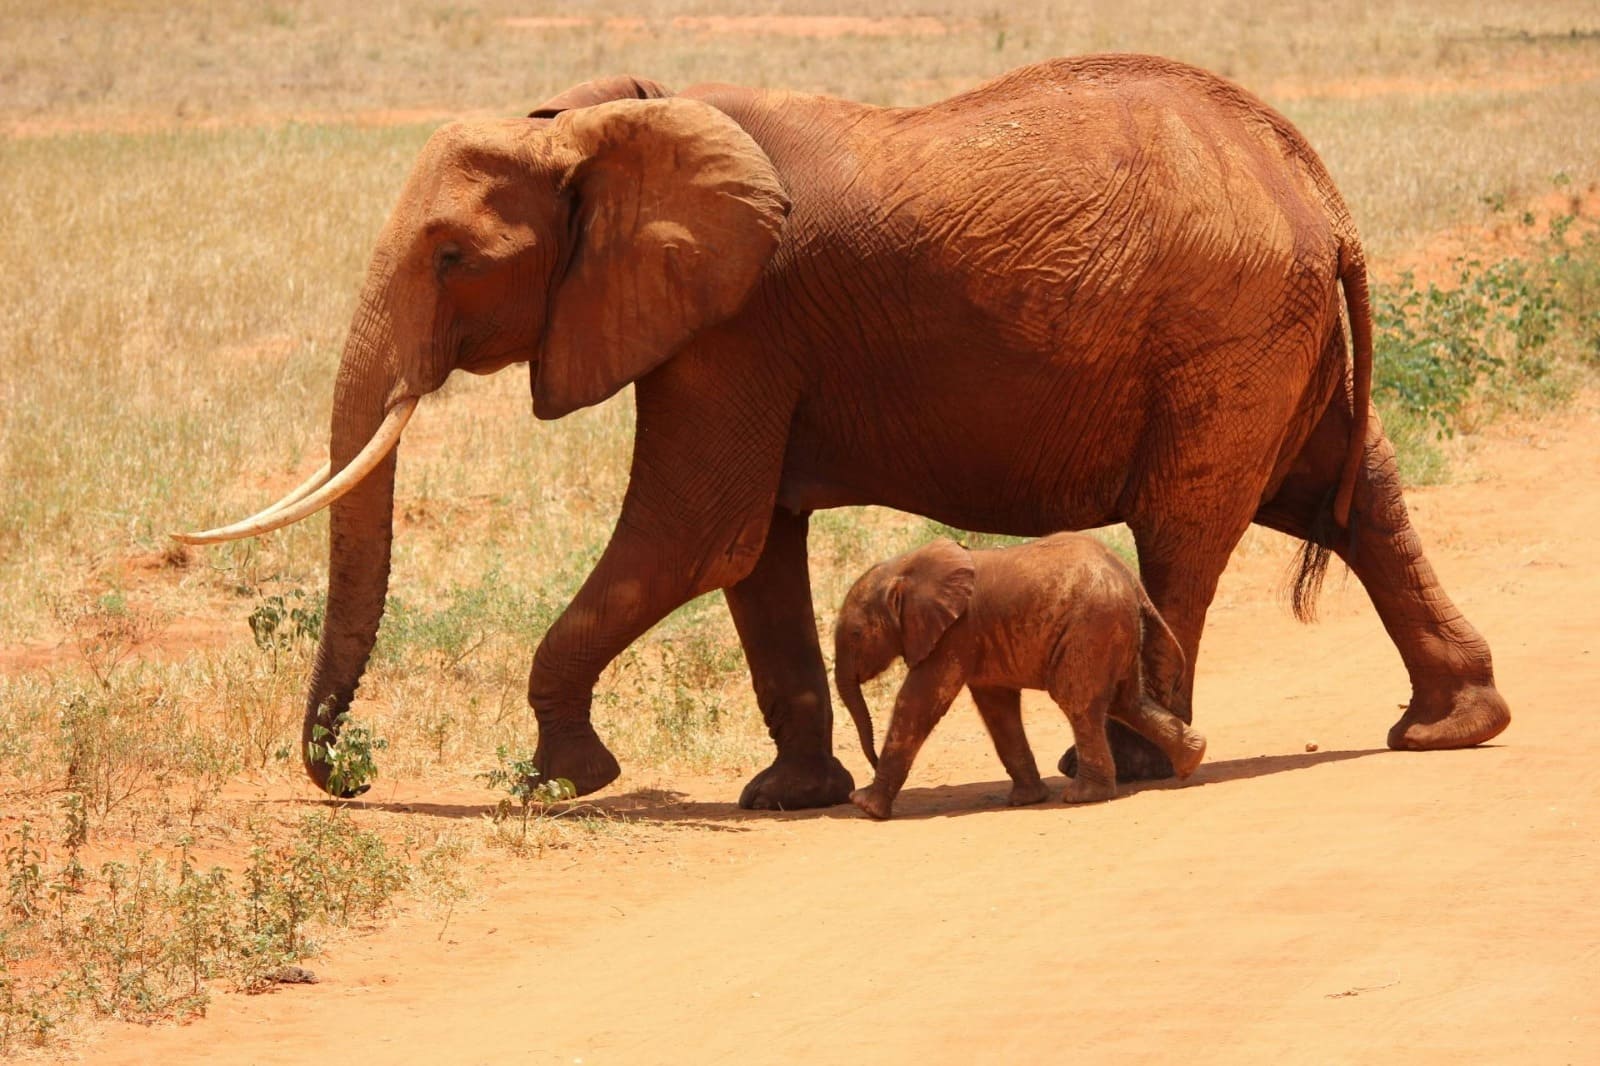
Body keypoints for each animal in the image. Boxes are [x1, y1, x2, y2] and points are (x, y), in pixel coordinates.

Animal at [834, 535, 1207, 820]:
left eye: (855, 634)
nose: (871, 760)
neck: (904, 568)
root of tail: (1130, 580)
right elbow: (997, 709)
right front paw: (1027, 800)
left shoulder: (955, 633)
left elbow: (918, 702)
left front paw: (865, 806)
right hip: (1114, 630)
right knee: (1127, 702)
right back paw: (1192, 759)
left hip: (1091, 629)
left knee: (1080, 704)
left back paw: (1084, 796)